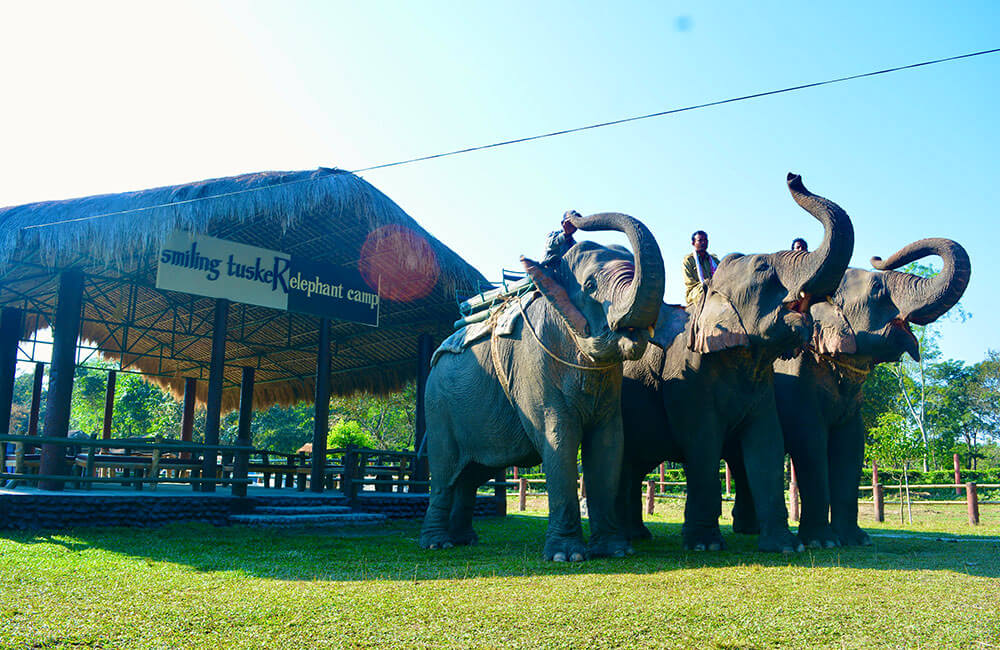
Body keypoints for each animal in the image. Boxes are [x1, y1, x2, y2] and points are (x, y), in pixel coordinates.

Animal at [419, 211, 665, 561]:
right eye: (590, 285)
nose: (571, 217)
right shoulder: (532, 364)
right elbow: (559, 436)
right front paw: (567, 556)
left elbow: (609, 442)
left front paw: (615, 551)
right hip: (438, 406)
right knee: (444, 472)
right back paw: (437, 543)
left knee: (472, 472)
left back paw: (465, 539)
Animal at [618, 173, 854, 553]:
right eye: (762, 268)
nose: (793, 176)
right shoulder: (687, 380)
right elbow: (702, 443)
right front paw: (704, 545)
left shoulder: (764, 387)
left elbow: (767, 445)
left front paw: (785, 546)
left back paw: (637, 535)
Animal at [728, 238, 971, 547]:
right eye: (878, 289)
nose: (878, 257)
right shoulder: (795, 381)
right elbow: (810, 442)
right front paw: (822, 543)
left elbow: (852, 445)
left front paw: (857, 540)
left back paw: (749, 529)